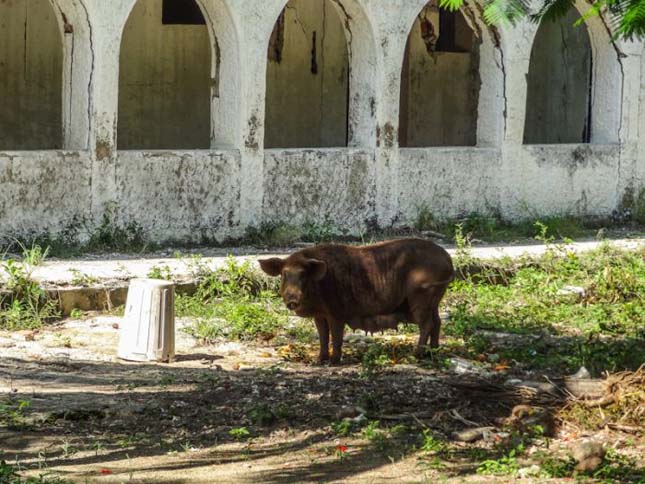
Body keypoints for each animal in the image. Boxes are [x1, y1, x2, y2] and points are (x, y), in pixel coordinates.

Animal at [258, 238, 452, 364]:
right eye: (284, 274)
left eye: (303, 275)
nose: (292, 299)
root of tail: (449, 262)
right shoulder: (320, 315)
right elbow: (323, 336)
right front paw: (319, 361)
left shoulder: (337, 311)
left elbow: (336, 336)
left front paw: (334, 361)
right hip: (434, 300)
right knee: (437, 322)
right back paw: (433, 352)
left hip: (422, 295)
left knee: (427, 323)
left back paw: (416, 355)